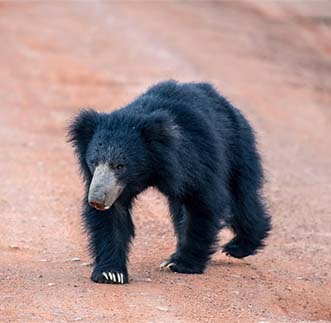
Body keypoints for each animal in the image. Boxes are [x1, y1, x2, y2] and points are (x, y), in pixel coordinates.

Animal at [68, 81, 272, 286]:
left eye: (120, 166)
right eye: (94, 162)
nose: (96, 200)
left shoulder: (195, 160)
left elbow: (202, 203)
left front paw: (182, 264)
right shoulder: (115, 187)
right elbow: (112, 216)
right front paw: (110, 273)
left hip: (237, 147)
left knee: (242, 197)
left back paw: (238, 246)